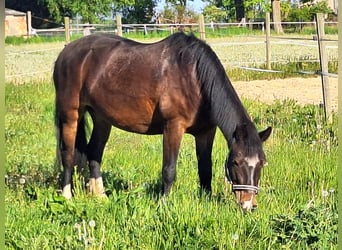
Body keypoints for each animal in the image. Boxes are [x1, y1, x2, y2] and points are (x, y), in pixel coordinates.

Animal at [52, 32, 272, 210]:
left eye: (262, 163)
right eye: (236, 162)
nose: (248, 205)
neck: (194, 78)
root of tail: (65, 52)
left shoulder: (205, 132)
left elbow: (205, 169)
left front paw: (206, 199)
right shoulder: (173, 127)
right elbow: (169, 169)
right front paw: (164, 203)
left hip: (102, 118)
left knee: (94, 153)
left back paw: (101, 196)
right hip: (71, 115)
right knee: (68, 155)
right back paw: (67, 197)